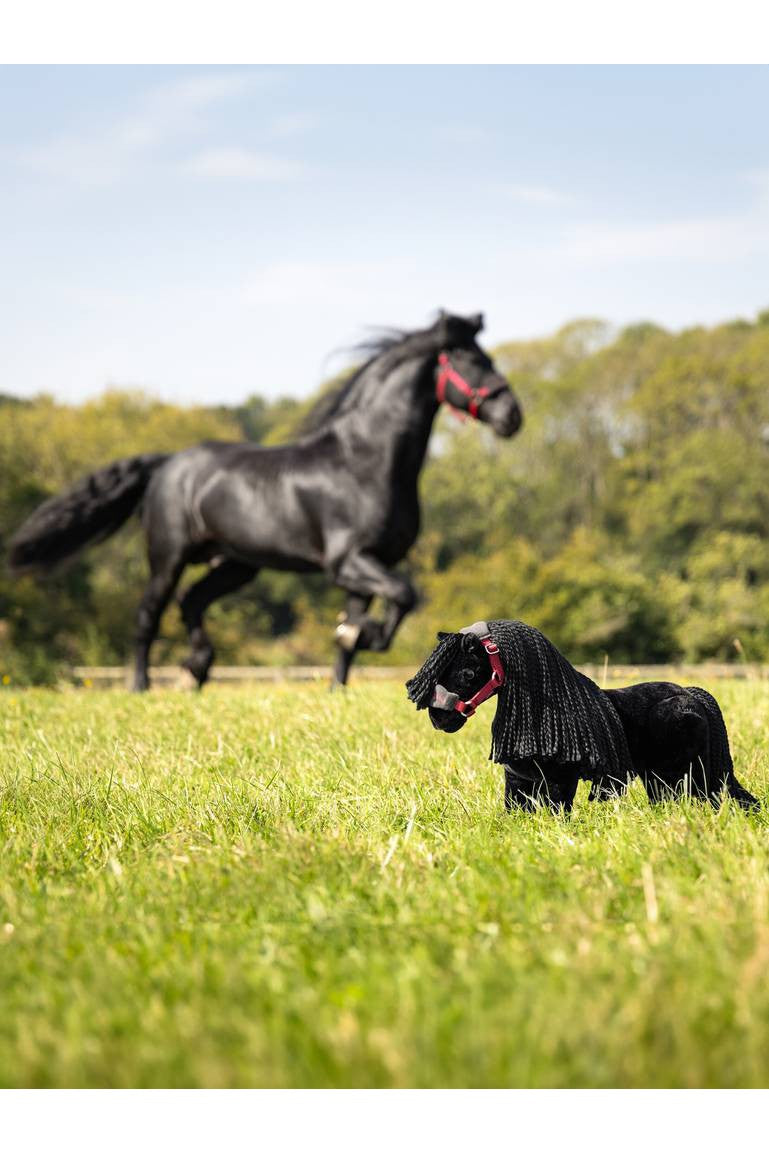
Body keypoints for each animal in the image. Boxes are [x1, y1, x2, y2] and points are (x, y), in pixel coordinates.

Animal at [10, 311, 523, 687]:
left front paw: (345, 669)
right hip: (169, 556)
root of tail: (169, 463)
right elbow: (403, 593)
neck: (366, 461)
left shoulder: (365, 569)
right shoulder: (348, 562)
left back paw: (197, 670)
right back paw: (142, 686)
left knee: (192, 603)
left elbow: (355, 632)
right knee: (148, 615)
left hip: (236, 564)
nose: (511, 415)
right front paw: (364, 636)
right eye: (466, 358)